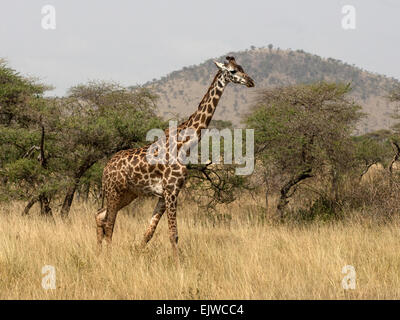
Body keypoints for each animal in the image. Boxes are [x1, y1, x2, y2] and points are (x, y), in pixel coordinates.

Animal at [95, 56, 255, 256]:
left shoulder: (164, 194)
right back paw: (108, 255)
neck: (184, 144)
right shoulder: (171, 190)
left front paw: (138, 254)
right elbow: (173, 234)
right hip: (114, 191)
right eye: (233, 71)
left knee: (100, 215)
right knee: (109, 222)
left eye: (242, 67)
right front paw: (177, 262)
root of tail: (105, 168)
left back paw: (99, 253)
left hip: (128, 193)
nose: (251, 81)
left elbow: (149, 232)